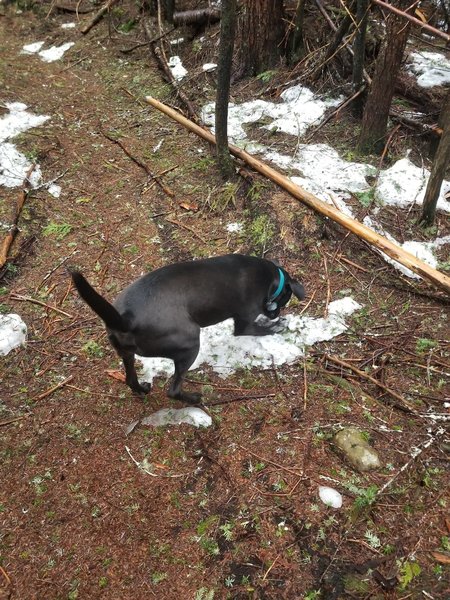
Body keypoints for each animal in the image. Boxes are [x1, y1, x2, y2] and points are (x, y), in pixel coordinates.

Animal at [68, 253, 304, 404]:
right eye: (284, 301)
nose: (275, 313)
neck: (269, 277)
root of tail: (126, 319)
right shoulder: (244, 323)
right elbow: (257, 329)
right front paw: (276, 326)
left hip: (127, 354)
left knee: (130, 379)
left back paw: (142, 389)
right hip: (190, 343)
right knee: (173, 391)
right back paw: (194, 399)